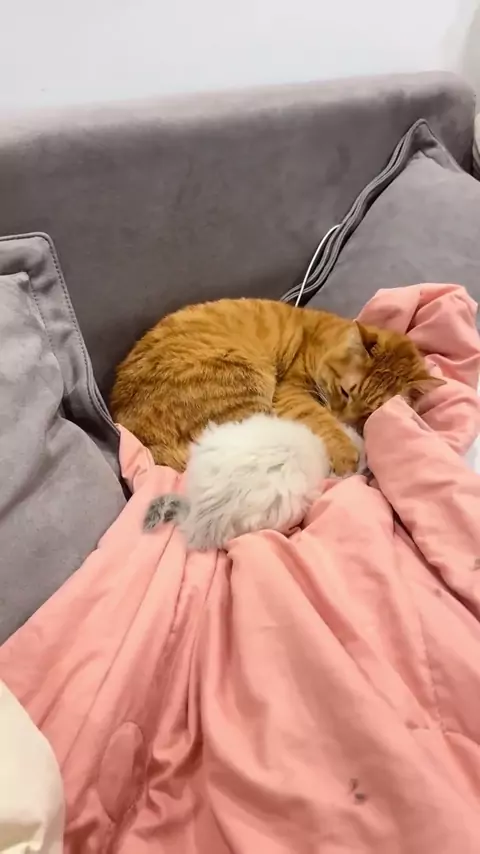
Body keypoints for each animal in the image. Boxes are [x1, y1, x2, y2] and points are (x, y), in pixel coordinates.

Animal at [111, 298, 442, 477]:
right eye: (346, 392)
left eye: (369, 413)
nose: (345, 420)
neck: (322, 340)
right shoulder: (290, 392)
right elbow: (319, 418)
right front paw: (345, 450)